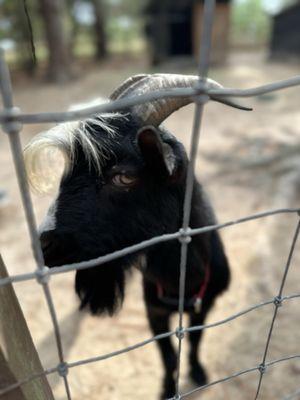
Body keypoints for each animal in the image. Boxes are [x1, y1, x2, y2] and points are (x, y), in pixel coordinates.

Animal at [24, 73, 248, 398]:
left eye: (124, 176)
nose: (44, 244)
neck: (180, 279)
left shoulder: (205, 306)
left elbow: (195, 341)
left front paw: (198, 372)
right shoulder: (154, 312)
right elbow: (167, 356)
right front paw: (167, 388)